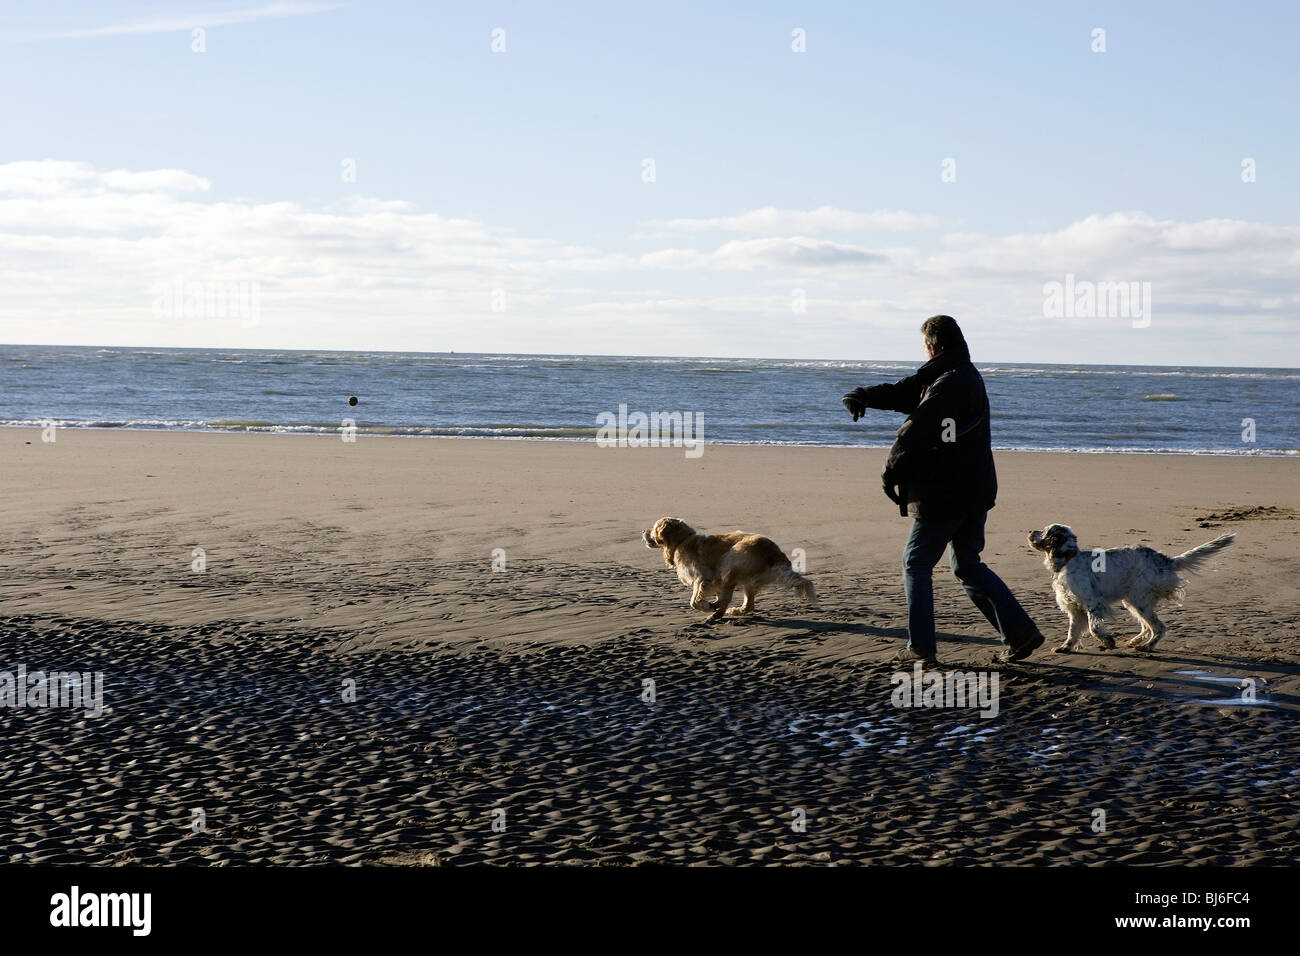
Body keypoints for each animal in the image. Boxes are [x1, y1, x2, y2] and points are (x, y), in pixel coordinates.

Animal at [639, 515, 811, 621]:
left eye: (653, 528)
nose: (643, 531)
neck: (681, 541)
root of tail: (774, 552)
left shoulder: (702, 579)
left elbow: (694, 601)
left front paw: (707, 606)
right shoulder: (713, 582)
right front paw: (713, 606)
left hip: (731, 558)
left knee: (729, 596)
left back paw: (717, 609)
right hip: (747, 578)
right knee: (747, 605)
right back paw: (728, 611)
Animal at [1029, 528, 1232, 655]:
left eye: (1044, 531)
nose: (1030, 531)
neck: (1068, 560)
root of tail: (1164, 559)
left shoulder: (1093, 603)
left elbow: (1094, 628)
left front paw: (1108, 642)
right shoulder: (1074, 609)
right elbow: (1072, 632)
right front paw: (1065, 648)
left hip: (1138, 599)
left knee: (1159, 627)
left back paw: (1147, 647)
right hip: (1133, 601)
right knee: (1147, 626)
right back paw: (1136, 642)